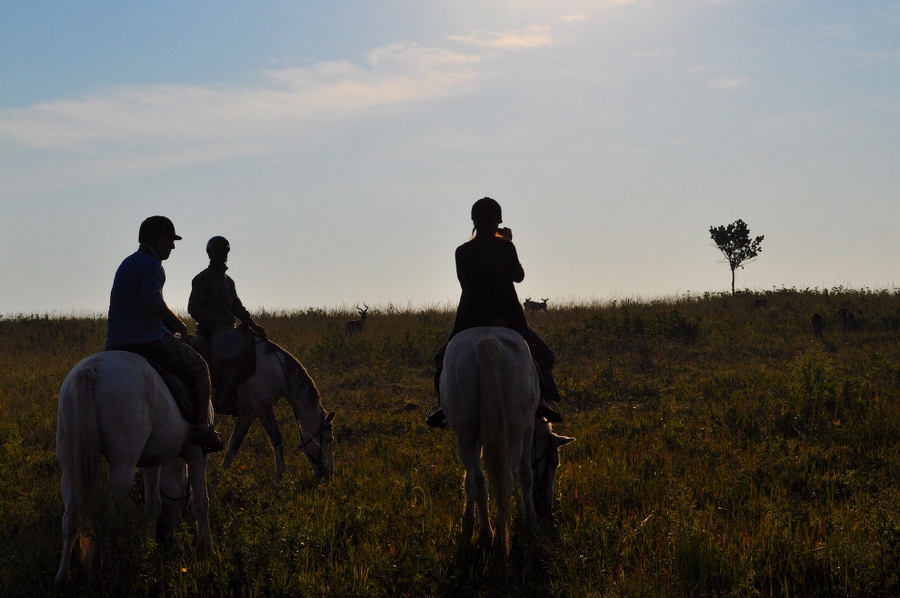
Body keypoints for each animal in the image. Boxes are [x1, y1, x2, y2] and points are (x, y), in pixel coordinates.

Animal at [57, 354, 217, 588]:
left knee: (70, 516)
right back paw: (110, 569)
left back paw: (63, 577)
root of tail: (91, 370)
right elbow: (202, 502)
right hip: (122, 464)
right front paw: (207, 550)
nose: (165, 535)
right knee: (108, 517)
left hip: (70, 462)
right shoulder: (197, 455)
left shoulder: (152, 462)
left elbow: (153, 506)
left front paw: (148, 548)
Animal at [222, 338, 338, 482]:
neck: (274, 368)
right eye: (329, 439)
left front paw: (225, 472)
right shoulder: (262, 407)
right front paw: (281, 475)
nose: (329, 474)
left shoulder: (249, 412)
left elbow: (235, 442)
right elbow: (276, 439)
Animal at [442, 326, 540, 556]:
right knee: (507, 479)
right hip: (515, 431)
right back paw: (499, 540)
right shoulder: (529, 427)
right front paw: (530, 520)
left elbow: (468, 479)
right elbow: (526, 474)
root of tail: (487, 343)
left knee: (479, 479)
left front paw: (467, 523)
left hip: (464, 432)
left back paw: (487, 537)